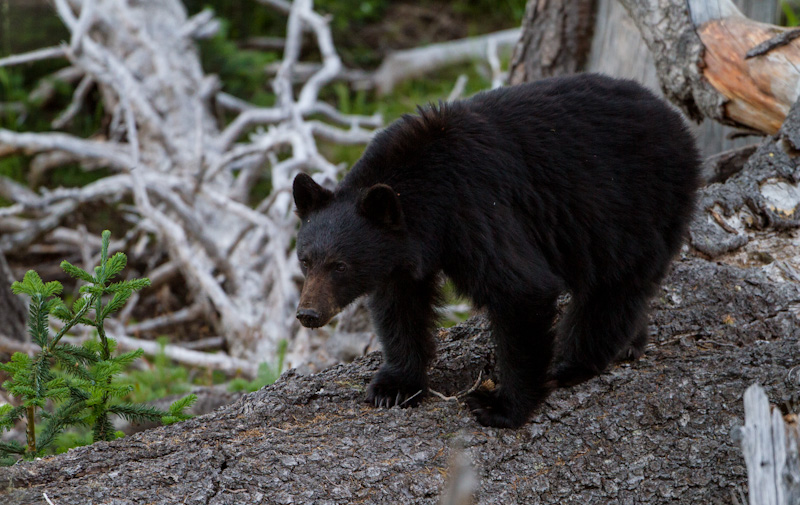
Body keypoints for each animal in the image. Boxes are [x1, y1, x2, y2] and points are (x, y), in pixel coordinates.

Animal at [294, 73, 700, 428]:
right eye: (305, 260)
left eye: (340, 265)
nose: (308, 313)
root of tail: (677, 121)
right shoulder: (402, 255)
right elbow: (400, 307)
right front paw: (394, 386)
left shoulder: (475, 209)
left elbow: (521, 290)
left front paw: (501, 407)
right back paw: (630, 344)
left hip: (635, 203)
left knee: (615, 285)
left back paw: (575, 363)